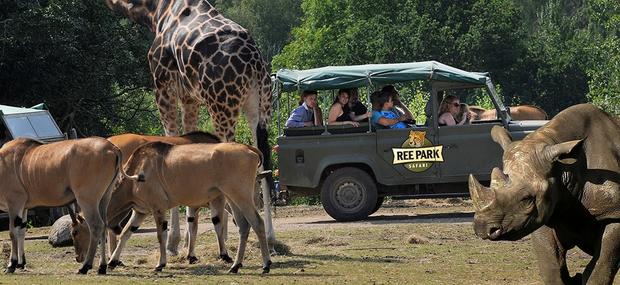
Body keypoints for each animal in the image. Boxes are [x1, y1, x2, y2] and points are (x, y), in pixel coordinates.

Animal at [0, 136, 136, 274]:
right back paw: (101, 267)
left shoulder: (14, 203)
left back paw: (85, 267)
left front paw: (11, 265)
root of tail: (112, 148)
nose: (77, 258)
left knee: (96, 226)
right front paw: (21, 264)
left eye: (75, 232)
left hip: (87, 200)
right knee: (104, 225)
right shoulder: (23, 207)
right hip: (104, 198)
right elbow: (21, 231)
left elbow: (12, 233)